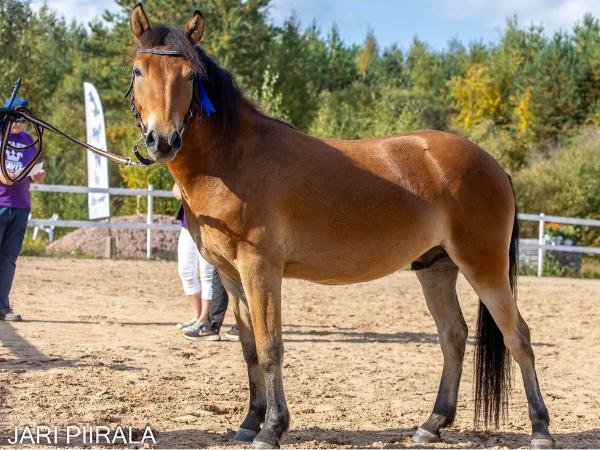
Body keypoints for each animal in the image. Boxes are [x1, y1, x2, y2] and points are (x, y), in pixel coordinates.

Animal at [127, 4, 554, 448]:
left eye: (189, 77)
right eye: (138, 70)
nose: (162, 140)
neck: (233, 158)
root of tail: (492, 165)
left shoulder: (261, 268)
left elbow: (270, 347)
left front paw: (272, 428)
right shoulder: (231, 275)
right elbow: (249, 349)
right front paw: (249, 422)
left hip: (483, 268)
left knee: (519, 337)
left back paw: (540, 429)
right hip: (436, 268)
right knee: (453, 337)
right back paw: (431, 423)